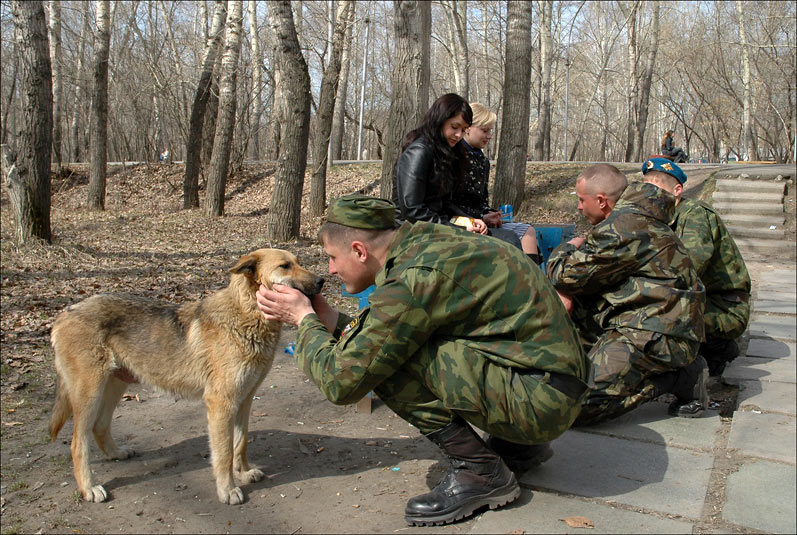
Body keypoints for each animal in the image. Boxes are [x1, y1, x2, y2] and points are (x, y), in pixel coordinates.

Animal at [49, 249, 324, 504]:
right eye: (285, 266)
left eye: (298, 262)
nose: (322, 280)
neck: (246, 314)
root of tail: (64, 313)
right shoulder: (221, 404)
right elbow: (224, 453)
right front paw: (227, 490)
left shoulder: (244, 400)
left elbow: (241, 443)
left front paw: (243, 473)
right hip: (90, 395)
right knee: (77, 443)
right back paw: (89, 488)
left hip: (115, 386)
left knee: (100, 426)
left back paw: (116, 453)